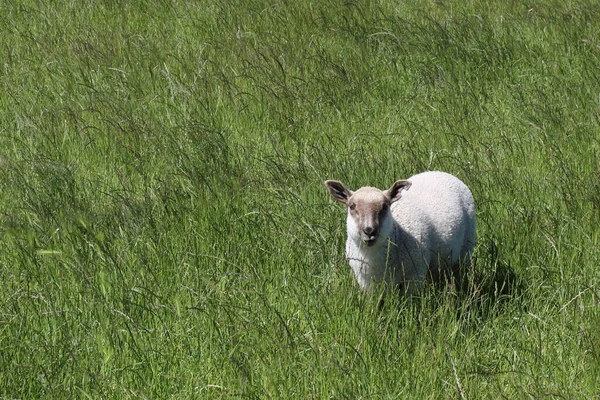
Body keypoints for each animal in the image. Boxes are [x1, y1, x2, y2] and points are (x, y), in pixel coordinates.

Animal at [326, 170, 476, 296]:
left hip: (465, 251)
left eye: (385, 206)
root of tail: (441, 172)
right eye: (351, 206)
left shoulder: (414, 275)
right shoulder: (366, 282)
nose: (369, 231)